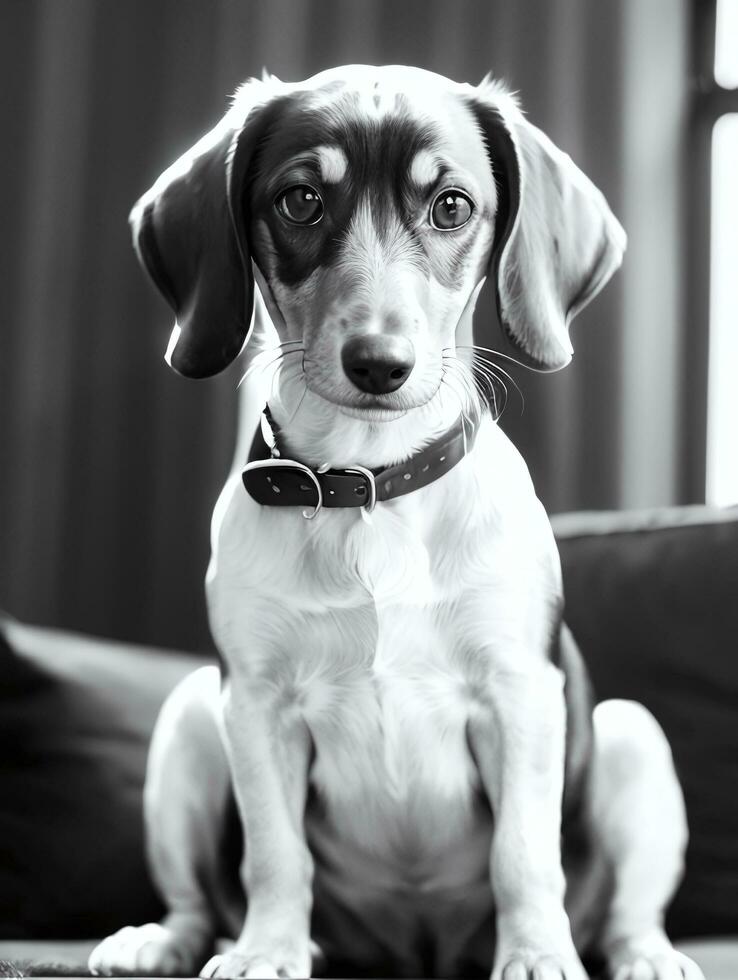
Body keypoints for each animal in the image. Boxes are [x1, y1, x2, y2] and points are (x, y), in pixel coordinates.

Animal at [89, 65, 704, 976]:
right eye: (301, 200)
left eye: (451, 205)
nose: (379, 364)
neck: (368, 483)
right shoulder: (255, 702)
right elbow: (274, 855)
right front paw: (267, 950)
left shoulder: (521, 693)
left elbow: (525, 855)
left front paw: (535, 954)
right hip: (194, 715)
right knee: (200, 900)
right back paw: (164, 940)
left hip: (633, 737)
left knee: (625, 910)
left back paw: (644, 954)